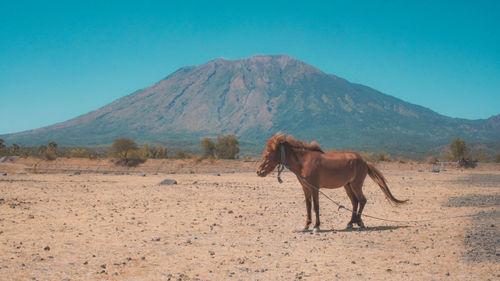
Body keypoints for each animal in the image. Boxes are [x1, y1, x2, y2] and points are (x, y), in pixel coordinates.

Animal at [258, 132, 406, 231]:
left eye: (268, 153)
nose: (259, 171)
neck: (304, 162)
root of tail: (364, 161)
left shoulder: (315, 188)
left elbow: (316, 207)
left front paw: (316, 227)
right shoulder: (306, 188)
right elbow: (308, 206)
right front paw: (306, 225)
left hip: (356, 185)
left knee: (362, 200)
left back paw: (359, 222)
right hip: (348, 186)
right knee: (355, 202)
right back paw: (350, 223)